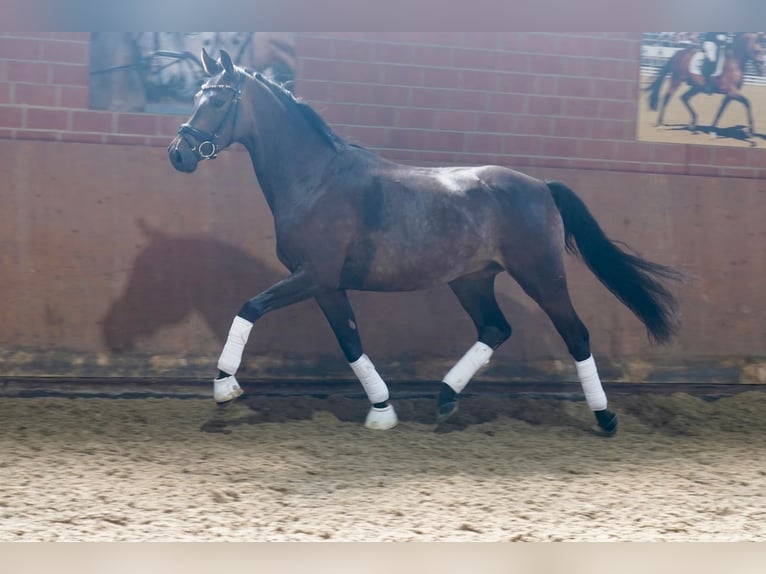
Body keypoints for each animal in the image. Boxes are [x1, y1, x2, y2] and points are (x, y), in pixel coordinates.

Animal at [166, 50, 684, 436]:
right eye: (195, 96)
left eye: (217, 102)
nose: (179, 154)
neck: (316, 179)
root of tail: (540, 186)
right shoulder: (327, 285)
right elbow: (350, 342)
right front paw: (382, 411)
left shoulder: (311, 275)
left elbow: (250, 307)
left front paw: (224, 386)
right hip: (471, 280)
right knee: (495, 328)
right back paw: (445, 397)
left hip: (542, 275)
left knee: (575, 334)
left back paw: (605, 417)